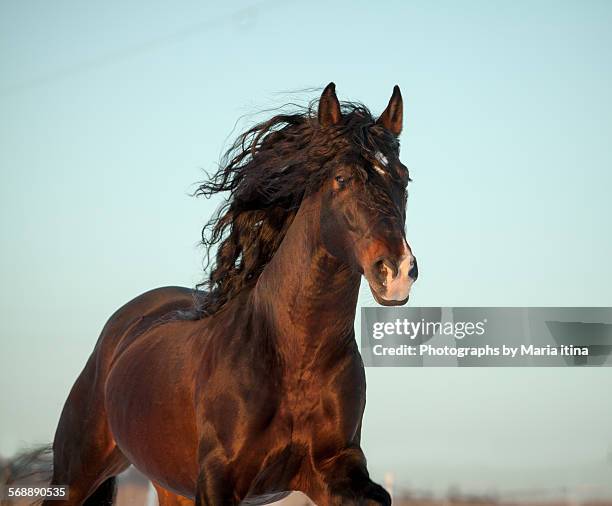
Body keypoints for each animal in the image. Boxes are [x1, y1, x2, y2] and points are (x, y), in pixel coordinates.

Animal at [41, 83, 416, 506]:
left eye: (404, 179)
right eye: (341, 178)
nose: (397, 271)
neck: (294, 358)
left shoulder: (336, 471)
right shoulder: (218, 479)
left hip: (172, 486)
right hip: (75, 474)